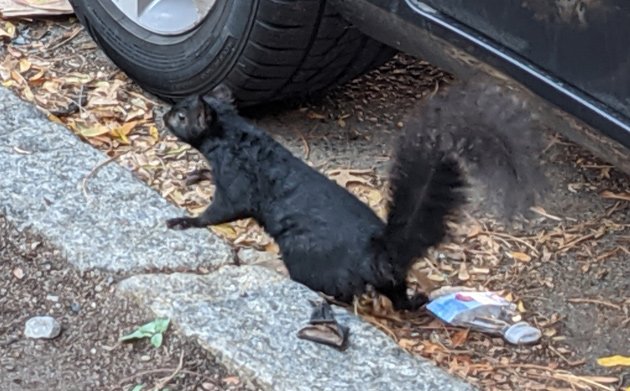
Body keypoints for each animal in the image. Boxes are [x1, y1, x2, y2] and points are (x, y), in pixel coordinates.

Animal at [164, 86, 470, 312]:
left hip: (308, 260)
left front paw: (185, 220)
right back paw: (414, 301)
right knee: (397, 298)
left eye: (181, 116)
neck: (233, 137)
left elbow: (218, 212)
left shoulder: (238, 182)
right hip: (390, 280)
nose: (165, 115)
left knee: (341, 293)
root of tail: (378, 252)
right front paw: (197, 174)